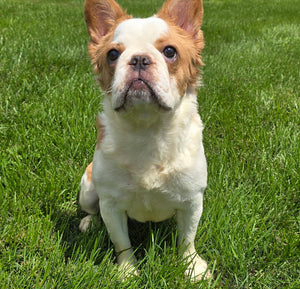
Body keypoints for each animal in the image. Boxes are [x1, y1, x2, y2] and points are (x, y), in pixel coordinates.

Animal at [79, 0, 211, 280]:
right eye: (112, 55)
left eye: (170, 52)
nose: (139, 58)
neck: (147, 130)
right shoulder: (112, 206)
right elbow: (122, 242)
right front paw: (127, 272)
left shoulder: (192, 201)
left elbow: (187, 239)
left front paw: (192, 267)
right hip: (87, 187)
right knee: (92, 209)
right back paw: (90, 222)